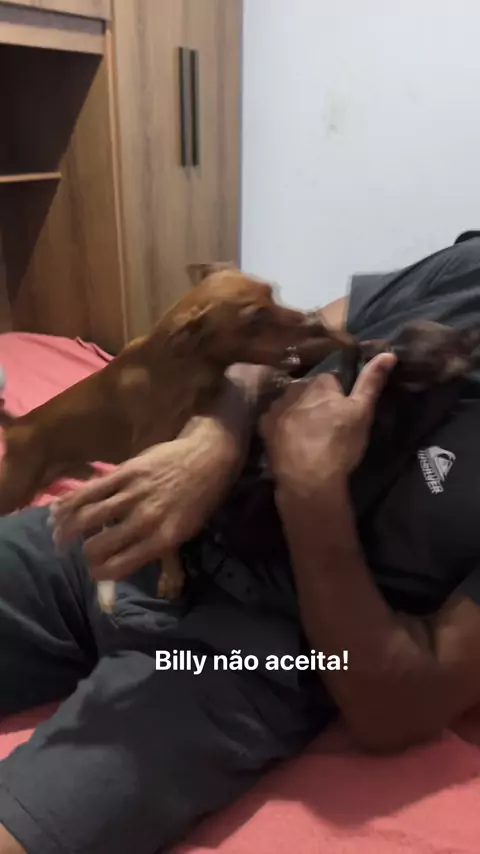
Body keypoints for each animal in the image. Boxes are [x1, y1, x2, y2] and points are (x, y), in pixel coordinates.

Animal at [0, 263, 355, 609]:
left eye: (273, 292)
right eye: (256, 318)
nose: (316, 320)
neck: (181, 366)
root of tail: (17, 425)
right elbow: (165, 541)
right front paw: (171, 575)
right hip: (14, 489)